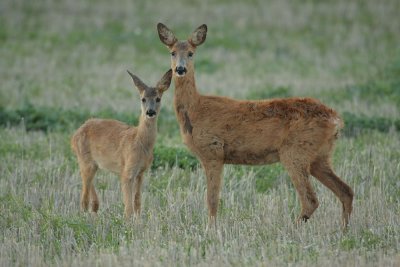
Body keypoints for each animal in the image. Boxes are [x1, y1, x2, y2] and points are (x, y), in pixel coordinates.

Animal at [72, 69, 172, 220]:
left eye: (158, 99)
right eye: (143, 99)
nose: (150, 112)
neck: (139, 142)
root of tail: (74, 136)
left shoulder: (141, 172)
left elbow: (137, 202)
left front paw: (139, 222)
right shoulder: (127, 171)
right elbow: (128, 207)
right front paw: (128, 223)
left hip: (92, 164)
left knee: (87, 184)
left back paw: (95, 207)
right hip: (85, 160)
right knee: (83, 196)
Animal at [156, 23, 354, 229]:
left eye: (191, 53)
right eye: (172, 52)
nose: (180, 69)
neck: (196, 110)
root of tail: (336, 120)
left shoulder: (214, 151)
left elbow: (212, 199)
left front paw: (211, 229)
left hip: (295, 151)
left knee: (311, 200)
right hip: (320, 156)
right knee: (346, 190)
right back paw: (344, 230)